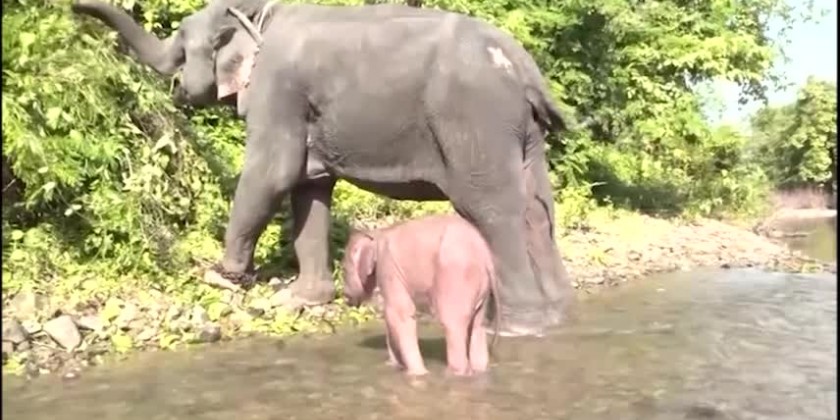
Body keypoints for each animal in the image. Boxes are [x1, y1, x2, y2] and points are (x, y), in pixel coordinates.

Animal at [69, 0, 576, 336]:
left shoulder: (277, 86)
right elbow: (309, 186)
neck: (259, 10)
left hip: (475, 119)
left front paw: (219, 276)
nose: (75, 13)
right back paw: (555, 317)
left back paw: (517, 329)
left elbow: (271, 172)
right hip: (524, 133)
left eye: (180, 44)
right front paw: (301, 299)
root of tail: (523, 66)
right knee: (538, 211)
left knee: (490, 211)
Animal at [342, 213, 498, 378]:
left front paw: (417, 374)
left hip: (456, 277)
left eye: (344, 270)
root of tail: (485, 256)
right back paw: (480, 370)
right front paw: (394, 365)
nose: (346, 297)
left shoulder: (388, 268)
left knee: (453, 324)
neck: (377, 233)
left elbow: (399, 313)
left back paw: (453, 374)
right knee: (478, 325)